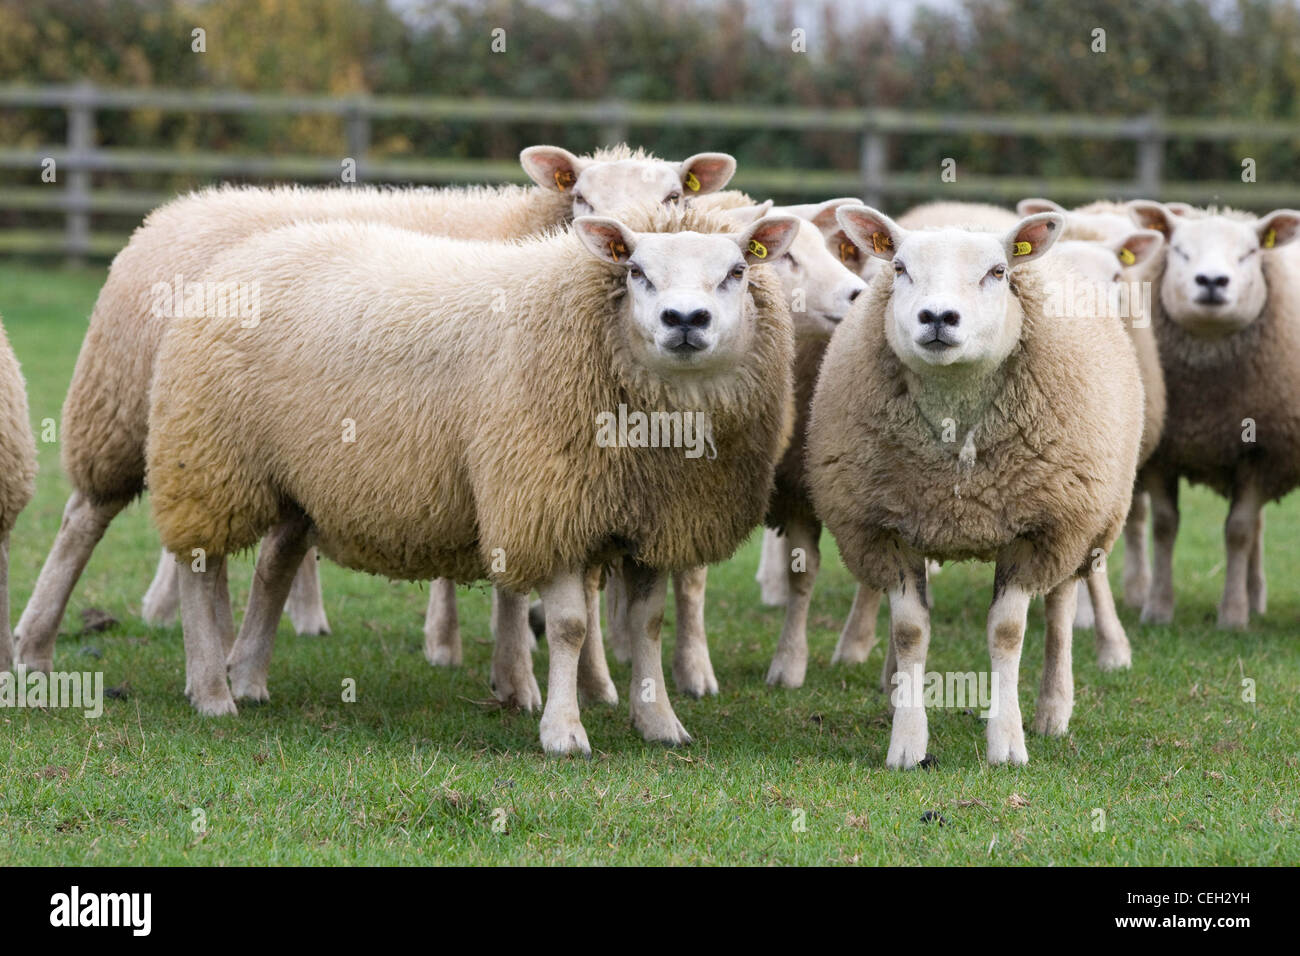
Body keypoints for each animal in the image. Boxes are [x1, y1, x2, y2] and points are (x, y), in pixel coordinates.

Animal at [15, 140, 738, 686]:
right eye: (581, 197)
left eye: (674, 198)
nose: (620, 249)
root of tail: (168, 214)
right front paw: (506, 666)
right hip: (128, 410)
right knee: (84, 520)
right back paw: (36, 644)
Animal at [139, 205, 790, 759]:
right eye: (635, 271)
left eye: (736, 271)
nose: (685, 320)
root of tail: (244, 254)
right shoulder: (545, 502)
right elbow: (571, 627)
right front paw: (564, 732)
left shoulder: (657, 520)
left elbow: (647, 623)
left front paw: (659, 722)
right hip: (208, 459)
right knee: (200, 569)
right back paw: (212, 691)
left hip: (297, 482)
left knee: (273, 567)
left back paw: (248, 676)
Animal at [806, 209, 1144, 770]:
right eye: (899, 267)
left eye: (998, 272)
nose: (938, 317)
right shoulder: (886, 526)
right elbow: (910, 631)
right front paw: (907, 740)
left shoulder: (1037, 527)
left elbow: (1008, 632)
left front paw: (1007, 741)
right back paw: (893, 686)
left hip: (1083, 520)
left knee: (1061, 607)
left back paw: (1054, 709)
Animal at [1118, 201, 1300, 632]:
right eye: (1180, 251)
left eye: (1249, 253)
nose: (1213, 281)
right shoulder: (1162, 452)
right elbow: (1165, 526)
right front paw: (1158, 609)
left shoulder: (1261, 452)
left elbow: (1238, 532)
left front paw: (1232, 616)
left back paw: (1252, 598)